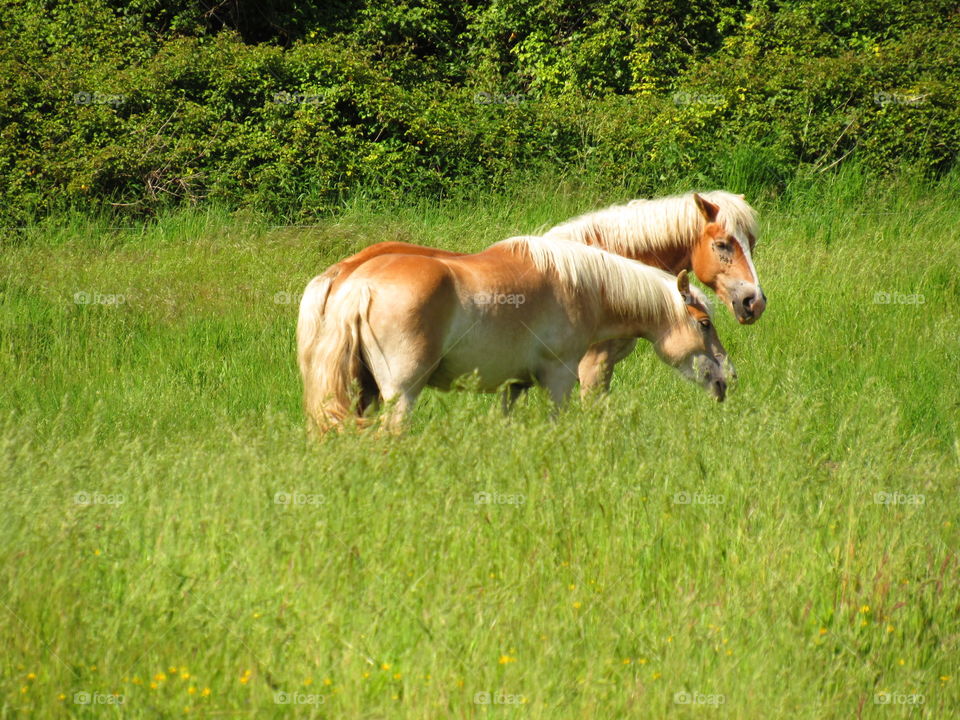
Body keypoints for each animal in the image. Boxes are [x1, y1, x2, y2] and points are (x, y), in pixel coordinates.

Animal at [300, 239, 728, 434]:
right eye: (704, 323)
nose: (727, 378)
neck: (579, 285)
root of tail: (360, 283)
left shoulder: (513, 386)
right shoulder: (559, 377)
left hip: (363, 391)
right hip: (401, 393)